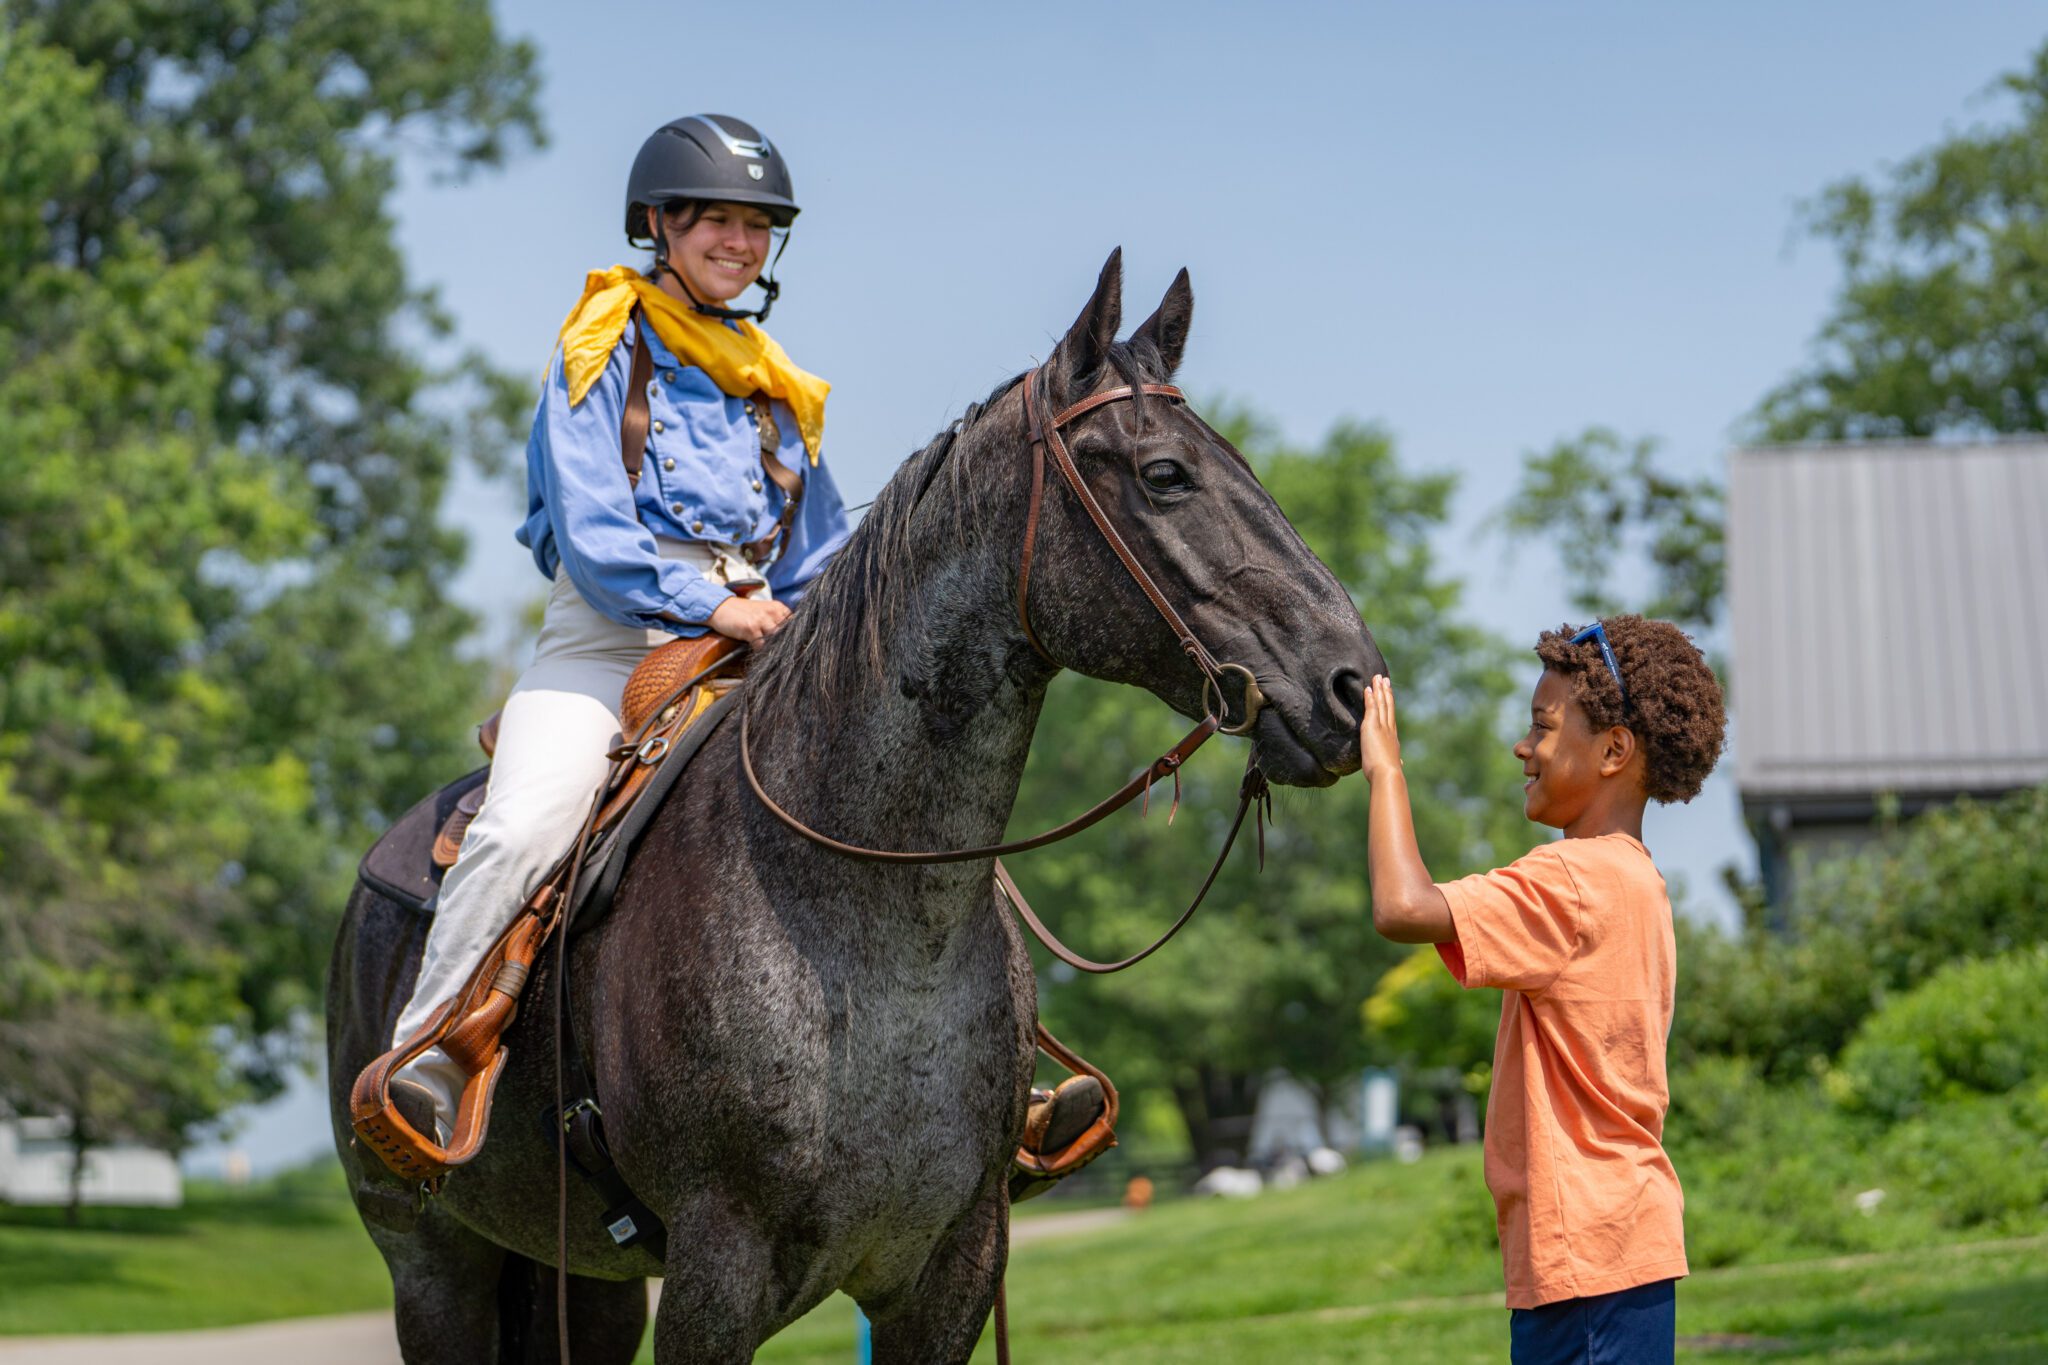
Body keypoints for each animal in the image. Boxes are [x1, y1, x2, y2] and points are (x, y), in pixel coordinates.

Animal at [327, 250, 1387, 1363]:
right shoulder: (715, 1275)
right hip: (433, 1265)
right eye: (1164, 475)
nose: (1351, 686)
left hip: (586, 1281)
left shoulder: (951, 1271)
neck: (866, 922)